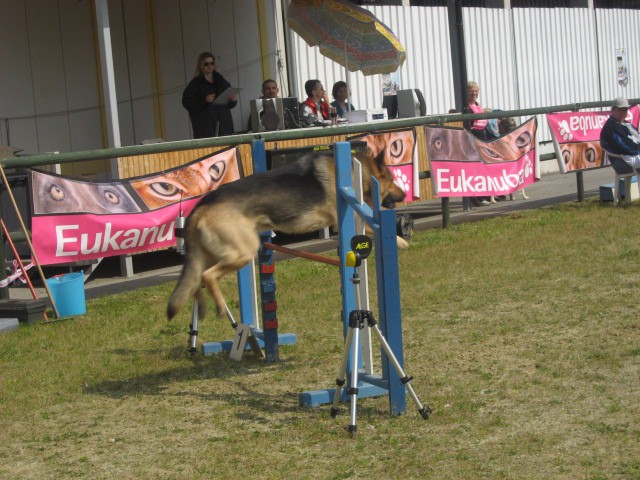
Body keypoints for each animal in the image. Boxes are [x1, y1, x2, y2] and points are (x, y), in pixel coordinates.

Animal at [168, 150, 408, 322]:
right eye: (391, 179)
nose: (406, 193)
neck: (356, 173)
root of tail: (201, 206)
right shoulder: (348, 216)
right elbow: (372, 224)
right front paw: (401, 241)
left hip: (210, 255)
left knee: (195, 280)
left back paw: (203, 308)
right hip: (242, 251)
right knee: (207, 276)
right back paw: (218, 308)